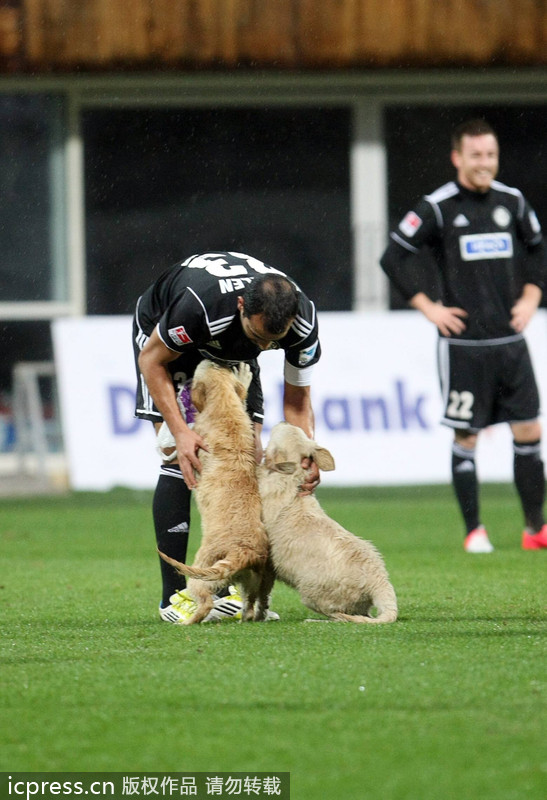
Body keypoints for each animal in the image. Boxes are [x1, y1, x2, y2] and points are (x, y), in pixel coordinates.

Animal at [159, 360, 270, 624]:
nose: (212, 360)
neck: (224, 408)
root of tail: (244, 552)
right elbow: (242, 396)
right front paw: (244, 378)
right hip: (252, 581)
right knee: (251, 606)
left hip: (202, 572)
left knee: (206, 602)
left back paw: (188, 622)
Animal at [256, 422, 398, 620]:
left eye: (279, 434)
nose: (284, 422)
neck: (290, 477)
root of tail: (379, 582)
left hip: (315, 594)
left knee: (339, 616)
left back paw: (314, 620)